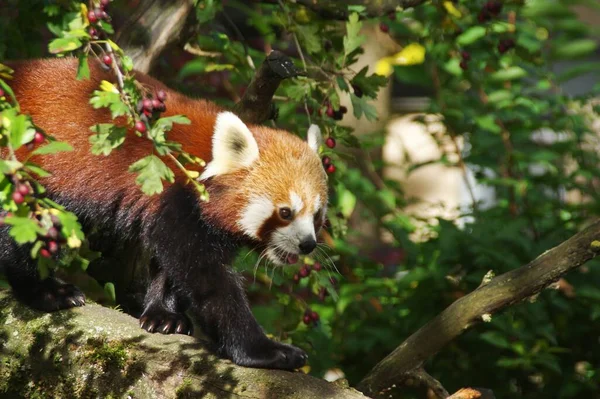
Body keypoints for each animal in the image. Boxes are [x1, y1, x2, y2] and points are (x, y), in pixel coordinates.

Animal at [1, 59, 328, 372]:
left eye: (317, 215)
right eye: (285, 212)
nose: (307, 244)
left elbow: (171, 267)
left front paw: (164, 315)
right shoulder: (177, 196)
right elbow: (206, 278)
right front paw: (262, 351)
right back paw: (45, 291)